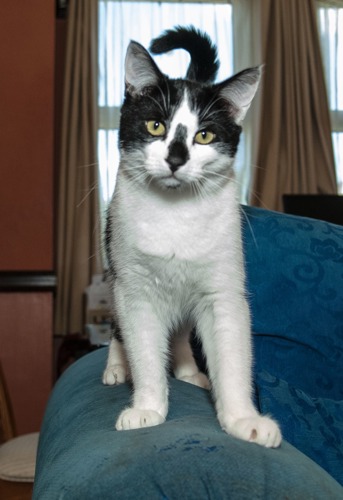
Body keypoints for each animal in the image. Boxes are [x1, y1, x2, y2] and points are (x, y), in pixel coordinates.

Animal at [103, 26, 282, 450]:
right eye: (155, 125)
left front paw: (243, 419)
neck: (175, 213)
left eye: (204, 135)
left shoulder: (223, 287)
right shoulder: (133, 286)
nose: (175, 158)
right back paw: (117, 365)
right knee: (118, 325)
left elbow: (231, 353)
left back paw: (187, 369)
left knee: (182, 330)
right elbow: (143, 346)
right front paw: (147, 407)